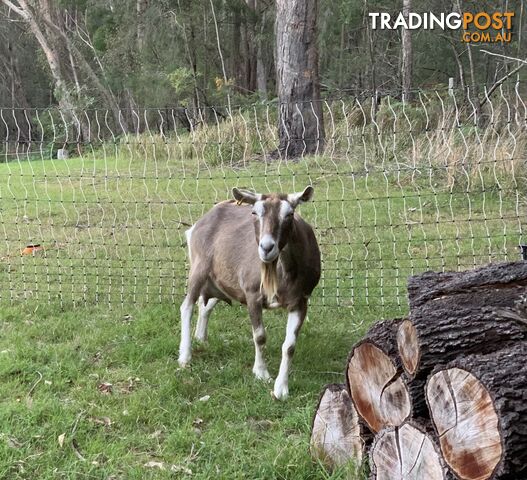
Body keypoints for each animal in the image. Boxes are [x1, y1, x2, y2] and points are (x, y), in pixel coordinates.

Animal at [179, 186, 322, 400]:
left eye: (289, 214)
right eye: (254, 212)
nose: (267, 247)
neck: (283, 272)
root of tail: (200, 222)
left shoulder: (300, 301)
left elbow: (289, 346)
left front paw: (281, 389)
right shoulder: (253, 294)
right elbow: (260, 336)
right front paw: (261, 373)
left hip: (220, 282)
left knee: (205, 305)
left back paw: (201, 338)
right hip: (199, 268)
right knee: (187, 306)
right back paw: (184, 356)